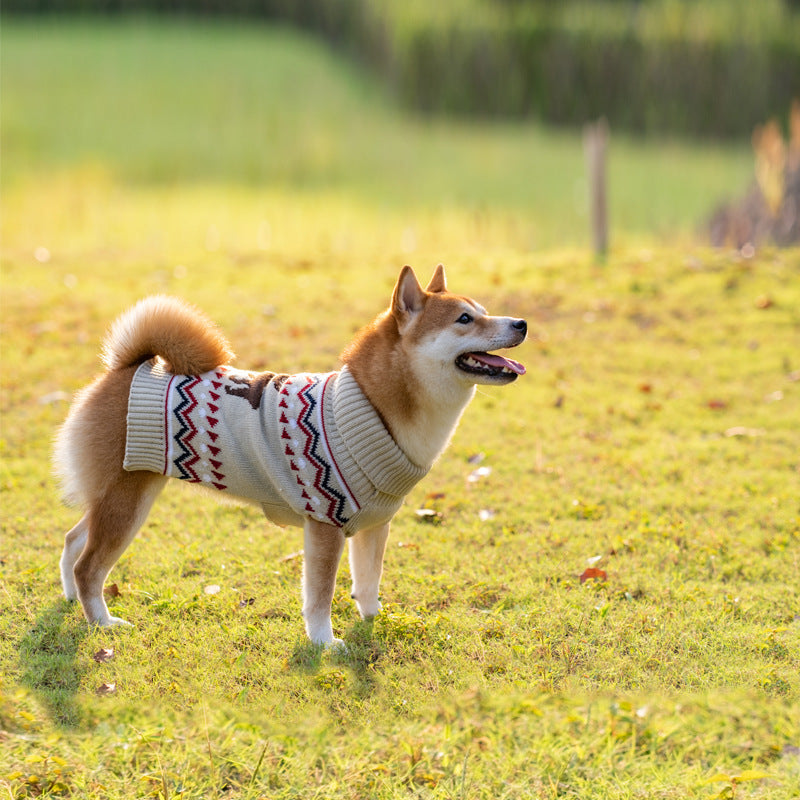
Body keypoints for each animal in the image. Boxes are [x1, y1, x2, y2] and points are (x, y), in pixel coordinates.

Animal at [54, 266, 524, 648]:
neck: (373, 405)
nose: (520, 323)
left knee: (74, 540)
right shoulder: (325, 525)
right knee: (89, 566)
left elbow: (368, 583)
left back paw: (71, 598)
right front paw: (324, 643)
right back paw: (101, 622)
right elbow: (320, 596)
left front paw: (373, 622)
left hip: (123, 497)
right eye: (465, 319)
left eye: (483, 311)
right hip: (127, 502)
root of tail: (125, 367)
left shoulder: (375, 525)